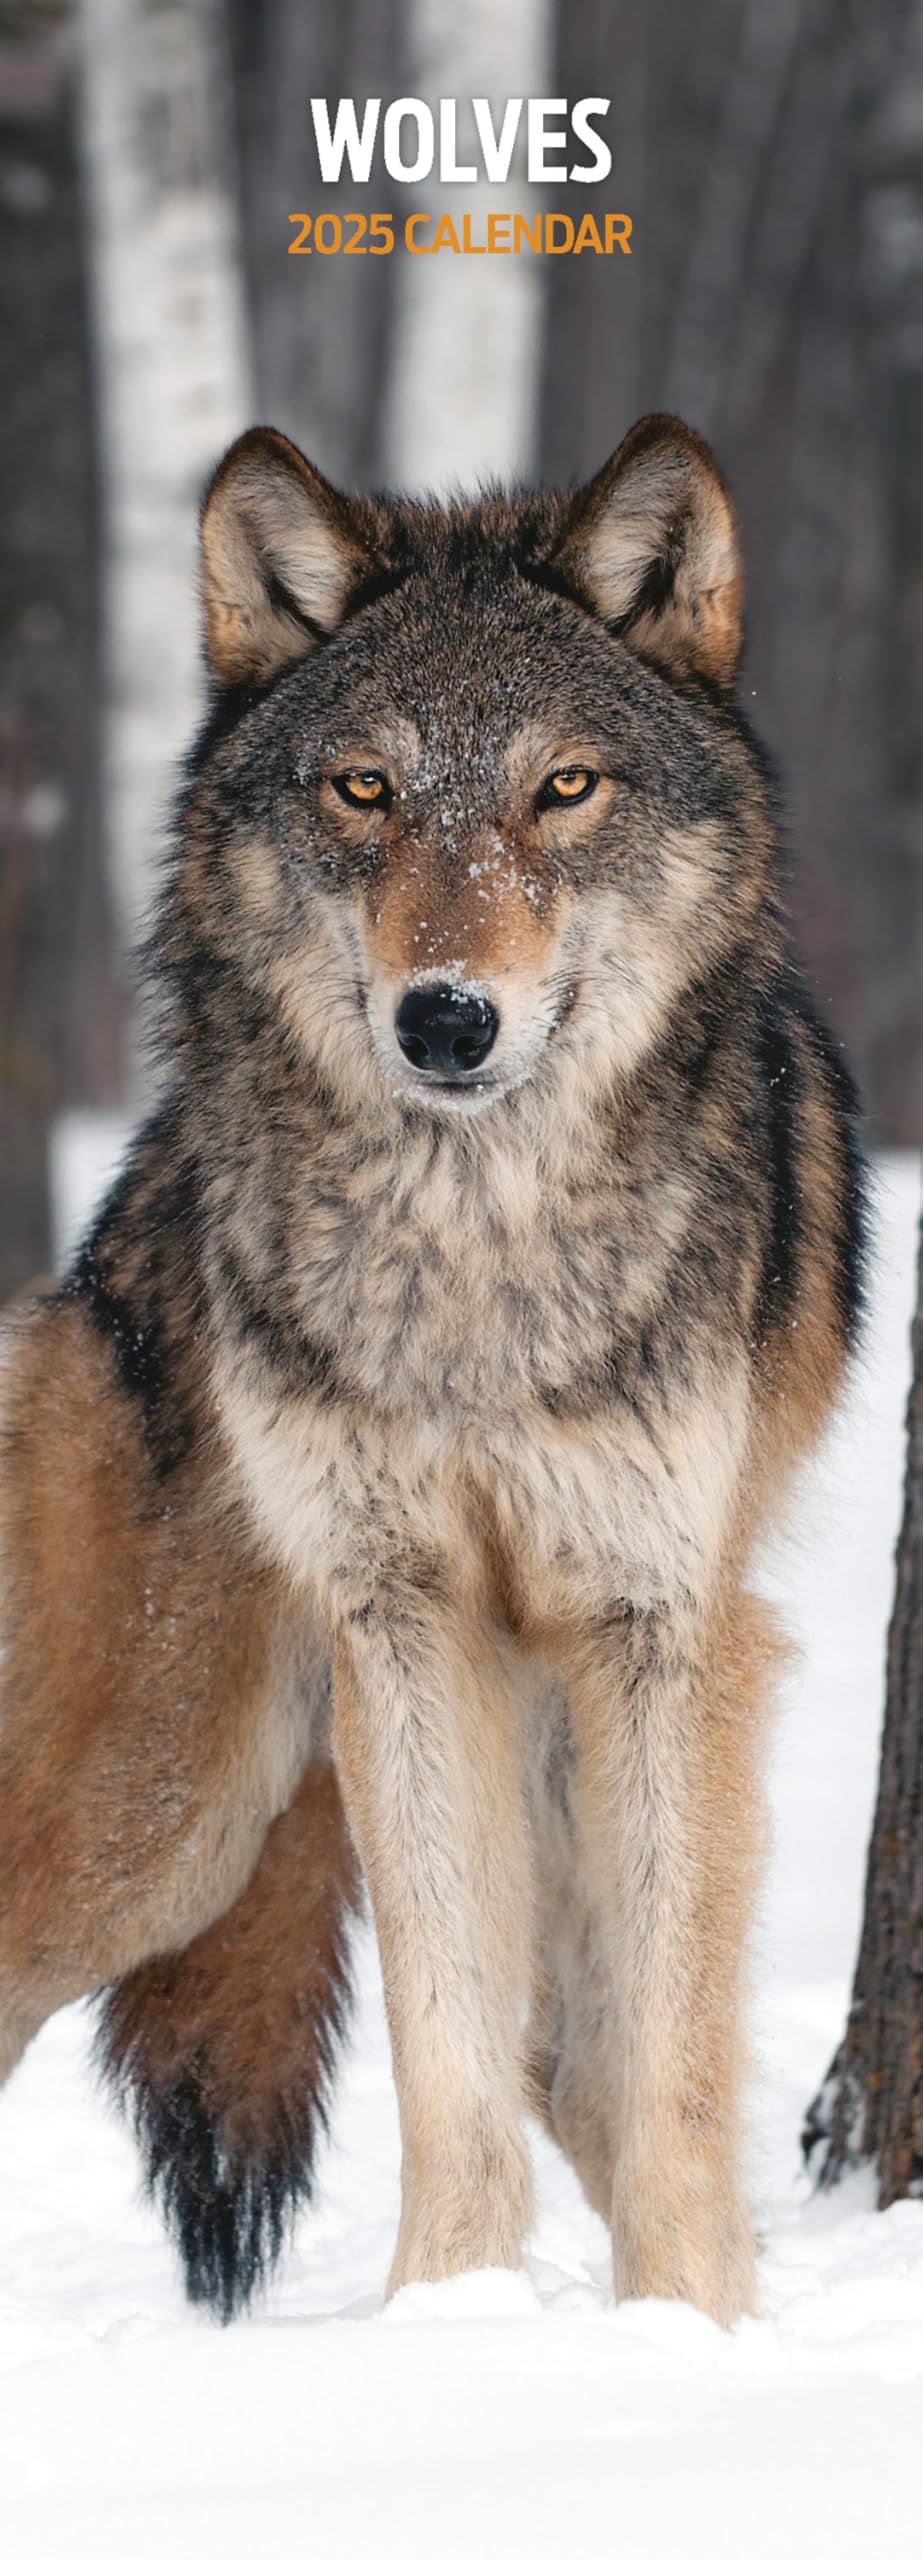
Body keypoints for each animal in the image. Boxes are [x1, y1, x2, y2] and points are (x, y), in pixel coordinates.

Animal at [0, 414, 864, 2325]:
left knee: (588, 2053)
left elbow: (659, 2062)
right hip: (166, 1809)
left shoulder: (657, 1627)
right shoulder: (404, 1623)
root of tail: (111, 1222)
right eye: (363, 792)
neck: (468, 1263)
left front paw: (672, 2331)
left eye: (563, 789)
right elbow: (440, 2044)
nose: (445, 1021)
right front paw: (441, 2320)